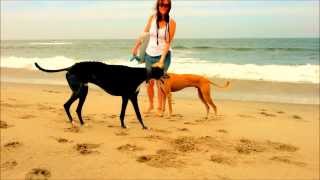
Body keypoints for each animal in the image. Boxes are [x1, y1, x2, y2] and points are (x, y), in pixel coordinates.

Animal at [35, 62, 164, 129]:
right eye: (162, 72)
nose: (167, 75)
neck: (139, 74)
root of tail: (71, 67)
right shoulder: (129, 97)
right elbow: (134, 114)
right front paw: (140, 126)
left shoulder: (129, 97)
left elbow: (128, 114)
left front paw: (127, 126)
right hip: (79, 91)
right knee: (67, 105)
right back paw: (73, 123)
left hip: (83, 91)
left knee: (77, 109)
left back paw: (82, 123)